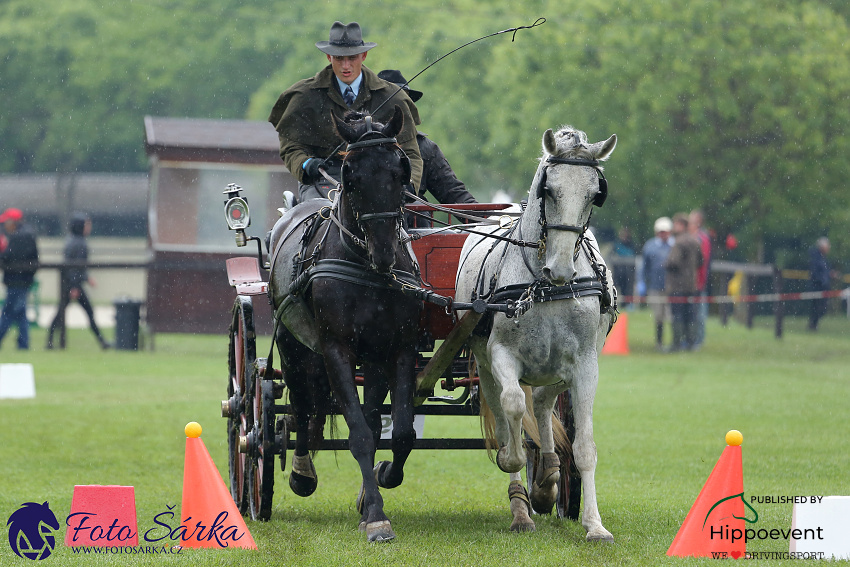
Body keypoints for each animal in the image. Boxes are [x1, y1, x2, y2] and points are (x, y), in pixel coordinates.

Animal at [268, 104, 420, 544]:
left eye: (401, 170)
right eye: (350, 175)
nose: (384, 249)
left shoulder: (396, 348)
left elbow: (399, 431)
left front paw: (381, 482)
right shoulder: (336, 348)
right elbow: (359, 434)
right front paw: (377, 519)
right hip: (293, 346)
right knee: (303, 407)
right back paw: (302, 472)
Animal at [458, 125, 616, 540]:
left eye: (594, 193)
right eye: (550, 190)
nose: (561, 269)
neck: (544, 287)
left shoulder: (585, 365)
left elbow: (583, 446)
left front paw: (594, 524)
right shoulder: (500, 354)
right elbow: (513, 407)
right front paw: (511, 459)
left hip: (561, 367)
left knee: (545, 403)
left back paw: (547, 478)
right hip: (484, 363)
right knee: (504, 408)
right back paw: (522, 507)